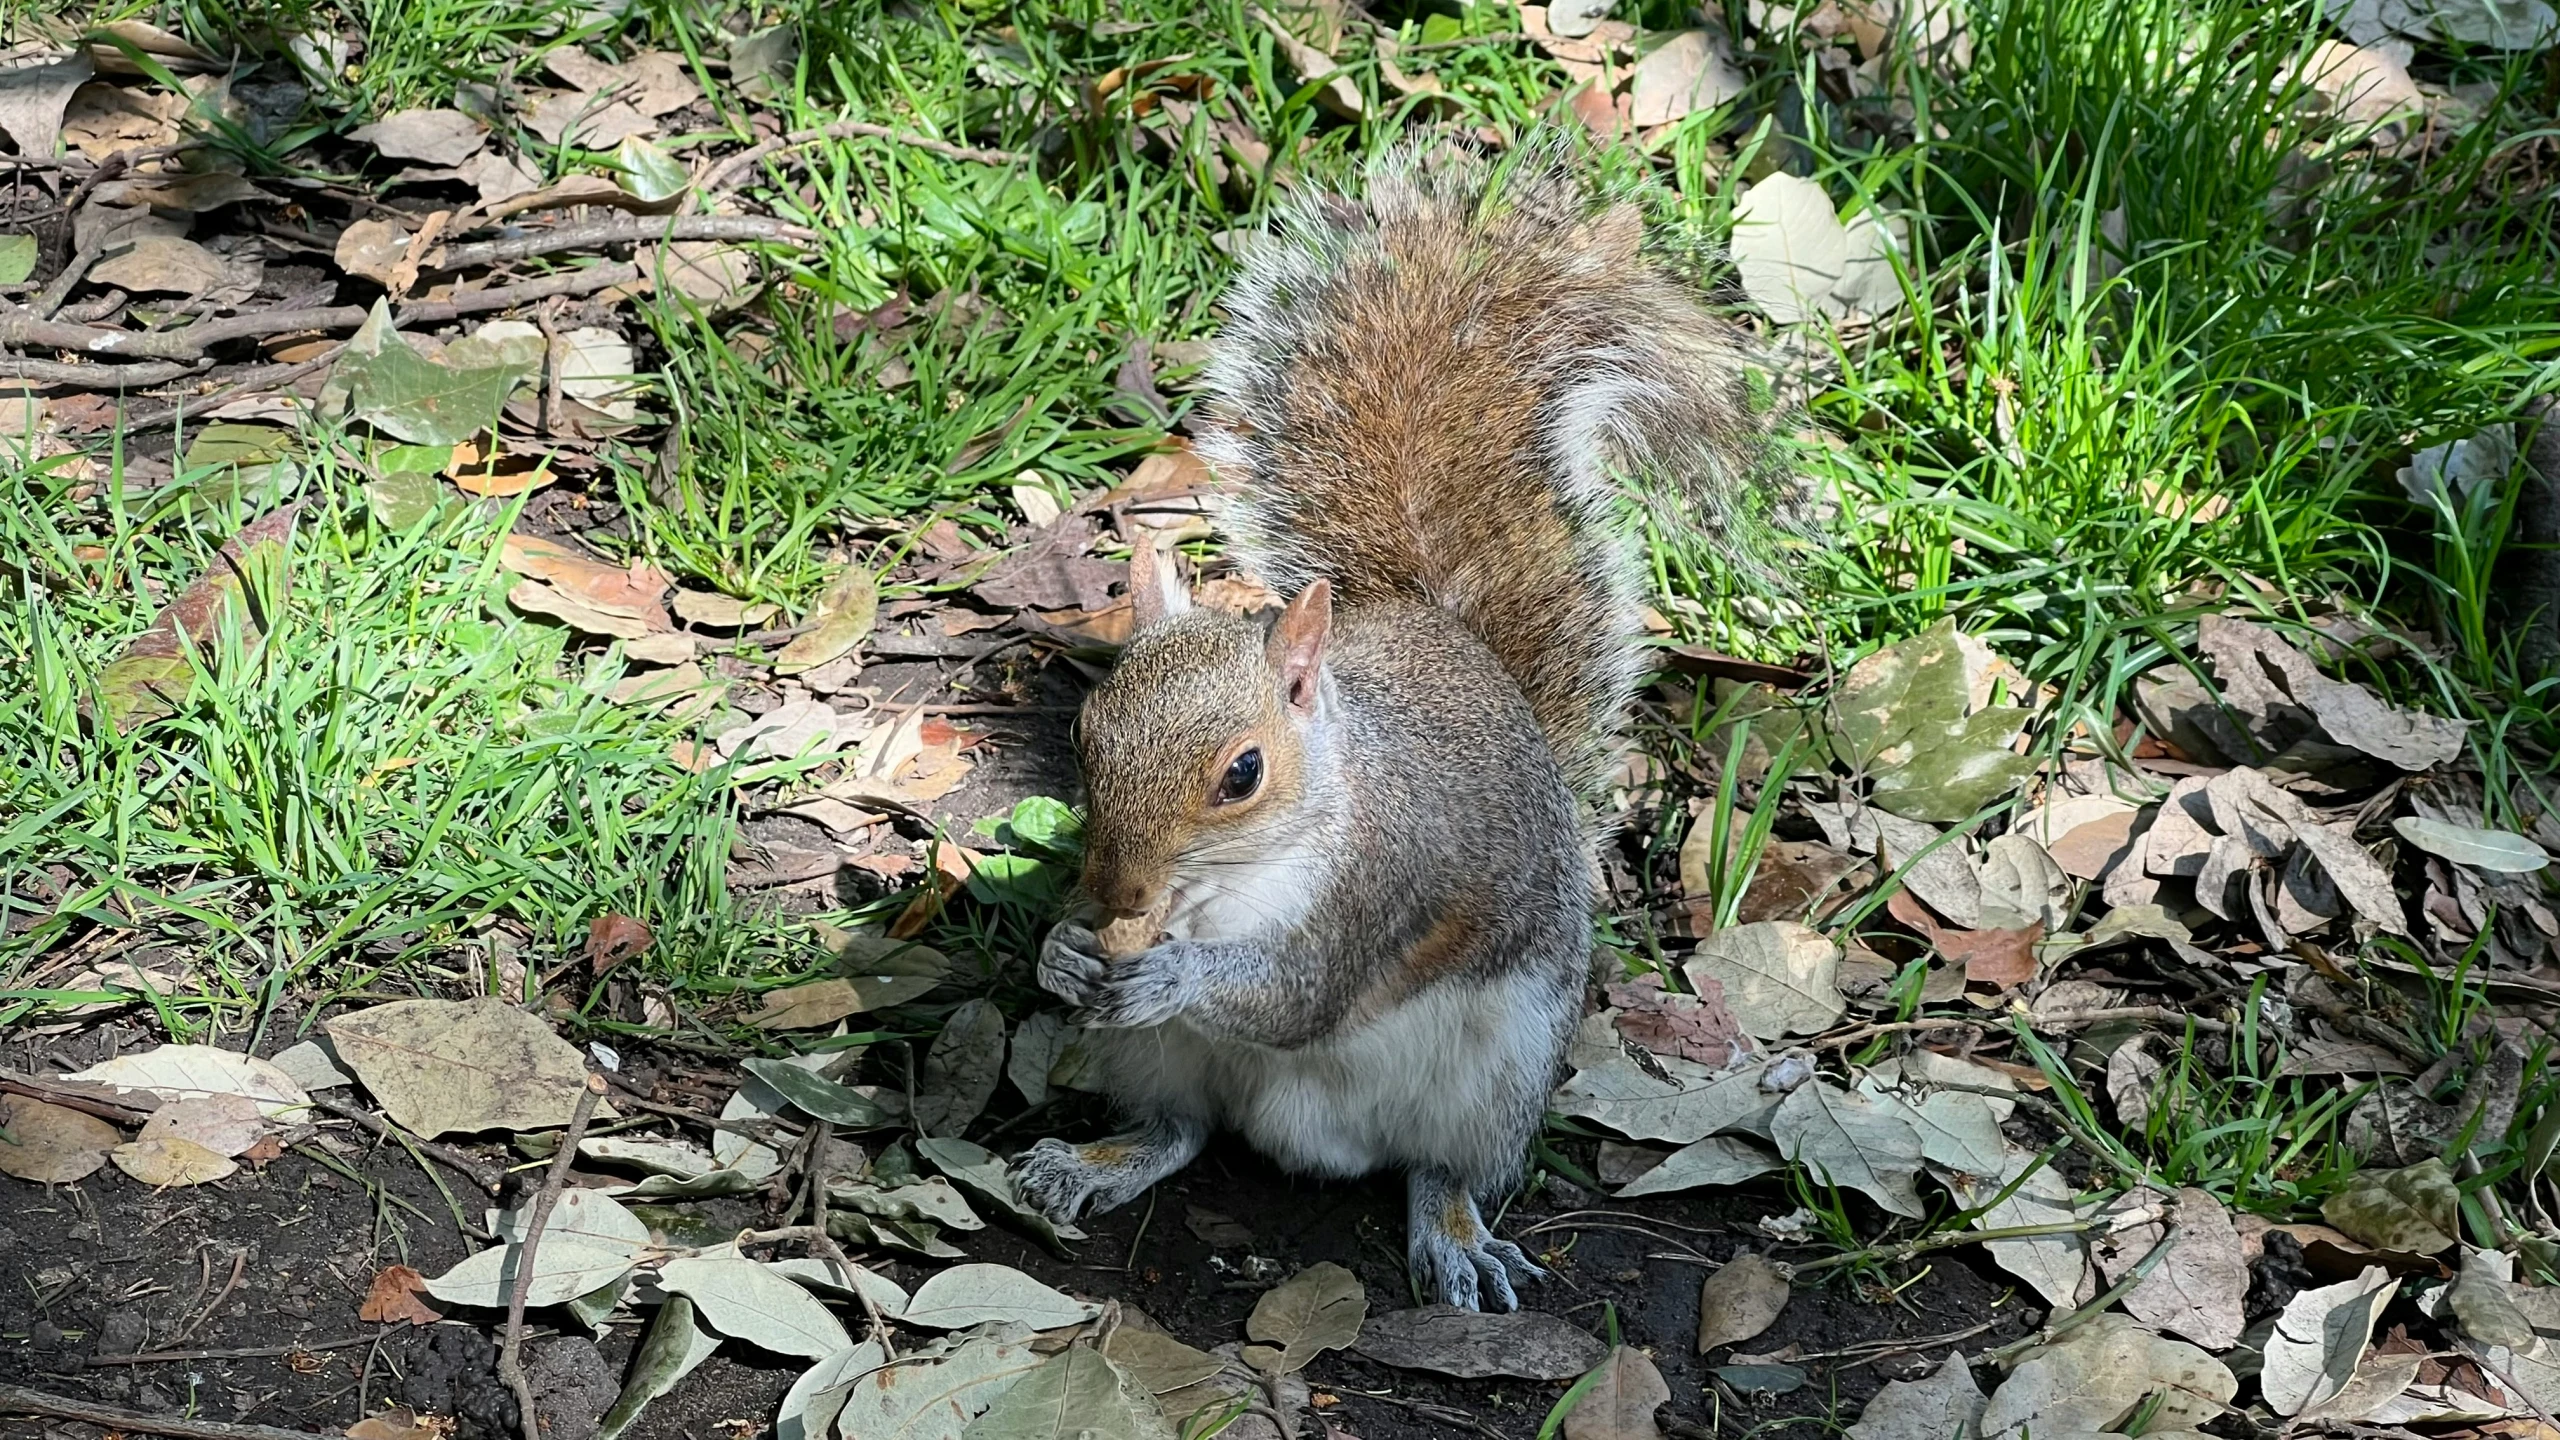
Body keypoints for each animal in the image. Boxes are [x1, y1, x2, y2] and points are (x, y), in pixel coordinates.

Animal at [1008, 137, 1792, 1311]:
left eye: (1242, 774)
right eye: (1082, 738)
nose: (1120, 899)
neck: (1235, 883)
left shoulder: (1384, 884)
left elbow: (1299, 996)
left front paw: (1171, 975)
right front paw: (1062, 950)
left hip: (1496, 1072)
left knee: (1441, 1165)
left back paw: (1457, 1234)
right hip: (1158, 1059)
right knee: (1180, 1131)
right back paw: (1095, 1161)